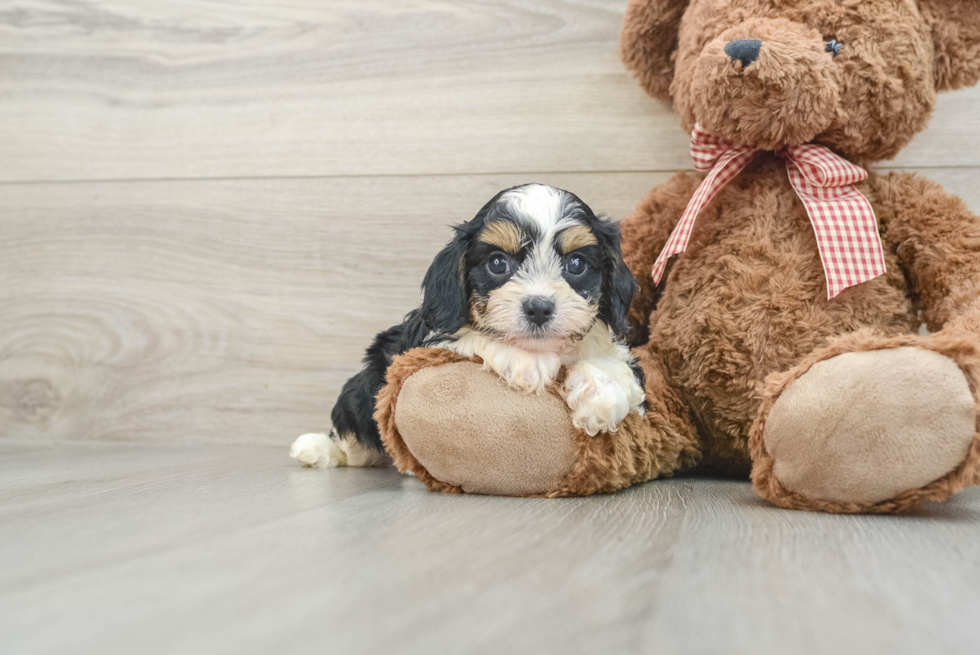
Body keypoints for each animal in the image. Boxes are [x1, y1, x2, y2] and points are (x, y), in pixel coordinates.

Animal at [290, 184, 644, 472]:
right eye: (498, 263)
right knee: (353, 439)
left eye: (576, 264)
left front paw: (601, 397)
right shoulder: (431, 340)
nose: (539, 307)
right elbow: (475, 338)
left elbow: (620, 368)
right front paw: (528, 362)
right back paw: (316, 448)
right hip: (362, 390)